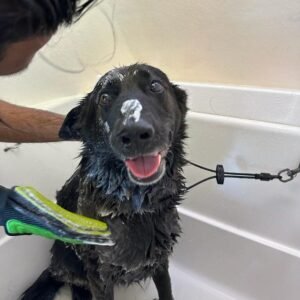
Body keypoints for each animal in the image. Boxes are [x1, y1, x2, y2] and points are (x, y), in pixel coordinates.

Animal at [21, 63, 188, 300]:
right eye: (104, 98)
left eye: (155, 86)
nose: (134, 133)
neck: (135, 207)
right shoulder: (98, 272)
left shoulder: (160, 257)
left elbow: (166, 290)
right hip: (71, 263)